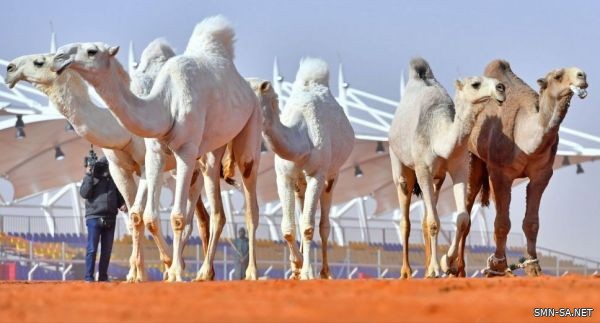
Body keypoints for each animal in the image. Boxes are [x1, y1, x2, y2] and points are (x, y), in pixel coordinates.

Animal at [53, 15, 262, 280]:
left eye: (92, 51)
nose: (58, 57)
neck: (165, 105)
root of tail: (247, 87)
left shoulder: (186, 151)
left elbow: (177, 217)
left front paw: (175, 273)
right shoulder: (154, 152)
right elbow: (149, 216)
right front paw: (169, 269)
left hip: (251, 126)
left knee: (250, 205)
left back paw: (251, 273)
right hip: (213, 150)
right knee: (216, 210)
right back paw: (204, 273)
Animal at [251, 58, 354, 280]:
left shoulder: (317, 174)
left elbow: (308, 226)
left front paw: (306, 272)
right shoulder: (284, 177)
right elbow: (289, 227)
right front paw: (296, 268)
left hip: (332, 175)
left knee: (324, 224)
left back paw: (325, 272)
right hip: (300, 184)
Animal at [390, 57, 506, 278]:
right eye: (475, 84)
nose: (501, 87)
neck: (439, 137)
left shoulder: (459, 168)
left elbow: (462, 218)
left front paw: (446, 263)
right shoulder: (423, 170)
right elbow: (434, 223)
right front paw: (437, 268)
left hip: (438, 178)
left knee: (426, 217)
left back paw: (427, 270)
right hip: (400, 165)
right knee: (405, 220)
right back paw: (407, 272)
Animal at [466, 59, 588, 278]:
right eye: (557, 76)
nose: (582, 76)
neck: (524, 140)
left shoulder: (542, 174)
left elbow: (531, 222)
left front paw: (533, 267)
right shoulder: (501, 173)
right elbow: (502, 223)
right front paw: (497, 267)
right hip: (472, 156)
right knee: (467, 204)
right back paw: (454, 267)